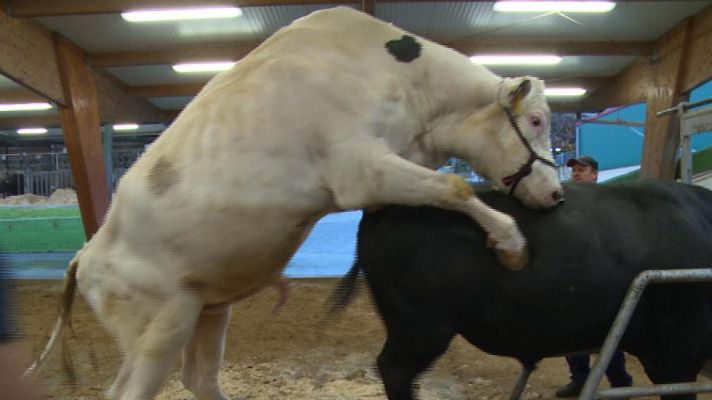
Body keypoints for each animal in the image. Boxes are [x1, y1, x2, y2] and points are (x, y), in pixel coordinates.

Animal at [27, 7, 560, 400]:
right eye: (535, 120)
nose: (557, 193)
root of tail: (86, 254)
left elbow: (445, 184)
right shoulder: (359, 170)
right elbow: (455, 188)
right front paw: (512, 243)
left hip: (205, 309)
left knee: (200, 379)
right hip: (158, 331)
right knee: (130, 393)